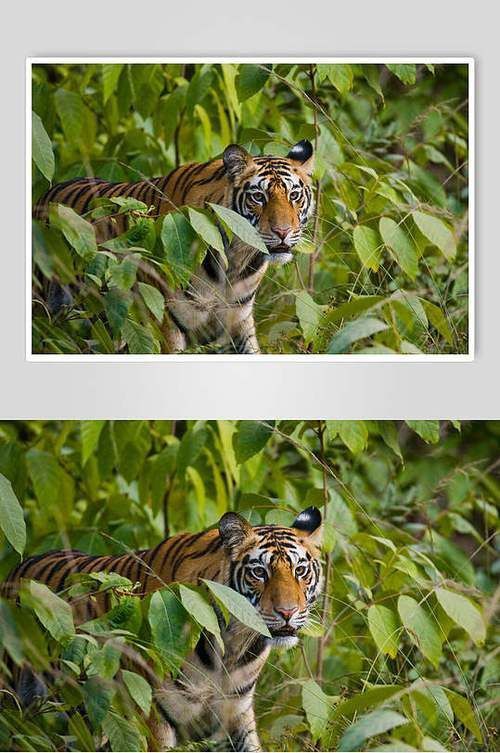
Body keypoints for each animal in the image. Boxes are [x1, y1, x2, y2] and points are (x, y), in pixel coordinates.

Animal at [3, 506, 323, 751]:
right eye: (259, 572)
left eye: (300, 571)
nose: (287, 612)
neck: (232, 644)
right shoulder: (152, 712)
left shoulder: (235, 714)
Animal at [33, 140, 315, 354]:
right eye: (258, 197)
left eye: (294, 196)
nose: (283, 232)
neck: (236, 259)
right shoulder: (164, 320)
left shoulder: (237, 323)